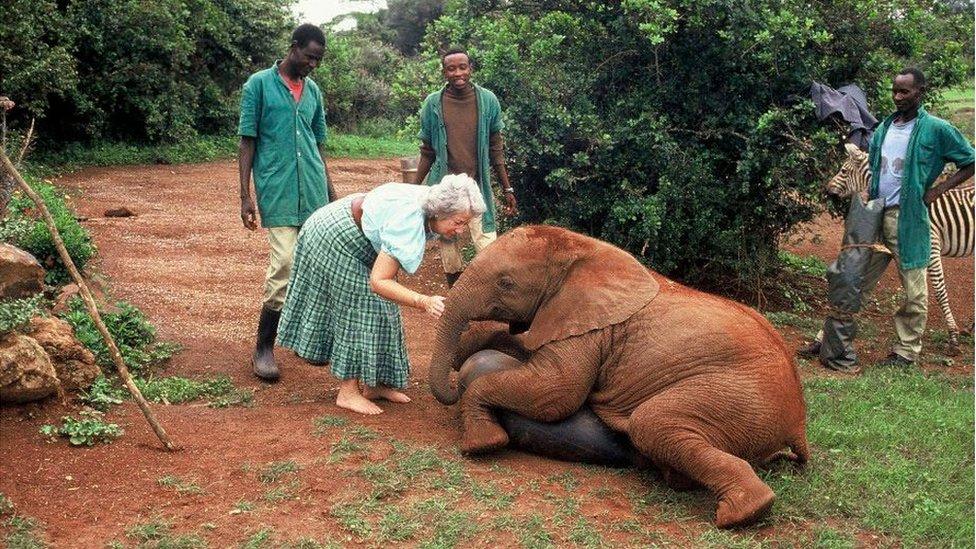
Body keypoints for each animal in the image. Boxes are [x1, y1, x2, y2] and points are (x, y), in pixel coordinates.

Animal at [428, 224, 808, 528]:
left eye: (506, 284)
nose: (449, 389)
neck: (580, 248)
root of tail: (798, 421)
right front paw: (467, 350)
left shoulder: (590, 328)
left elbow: (555, 392)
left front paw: (481, 445)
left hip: (740, 398)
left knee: (651, 423)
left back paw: (742, 514)